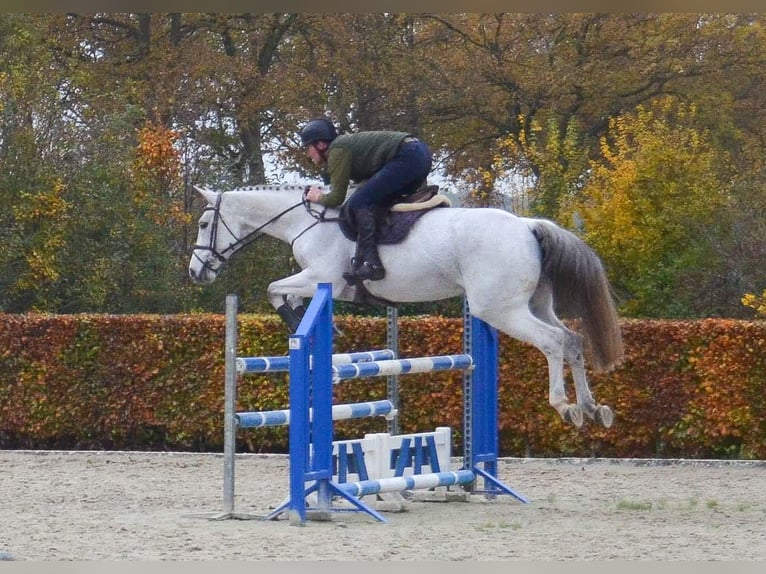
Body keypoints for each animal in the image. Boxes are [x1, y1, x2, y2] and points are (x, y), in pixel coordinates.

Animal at [190, 183, 624, 428]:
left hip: (500, 309)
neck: (308, 220)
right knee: (573, 340)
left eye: (202, 225)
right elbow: (288, 295)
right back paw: (591, 408)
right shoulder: (322, 284)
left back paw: (565, 407)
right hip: (534, 304)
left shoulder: (321, 277)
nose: (197, 272)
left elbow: (274, 289)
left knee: (553, 341)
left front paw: (306, 325)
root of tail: (529, 225)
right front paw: (311, 324)